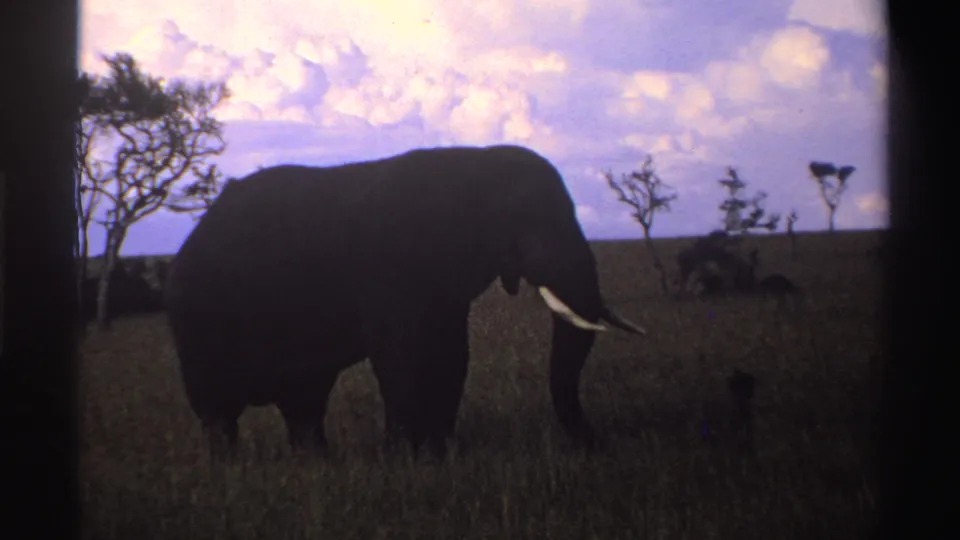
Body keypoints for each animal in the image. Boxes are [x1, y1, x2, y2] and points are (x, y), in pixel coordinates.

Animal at [164, 144, 646, 459]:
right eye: (528, 222)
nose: (596, 446)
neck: (476, 163)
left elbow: (452, 356)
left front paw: (441, 454)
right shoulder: (390, 267)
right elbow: (402, 358)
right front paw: (403, 461)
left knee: (304, 401)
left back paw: (317, 464)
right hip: (199, 317)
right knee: (218, 410)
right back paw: (230, 471)